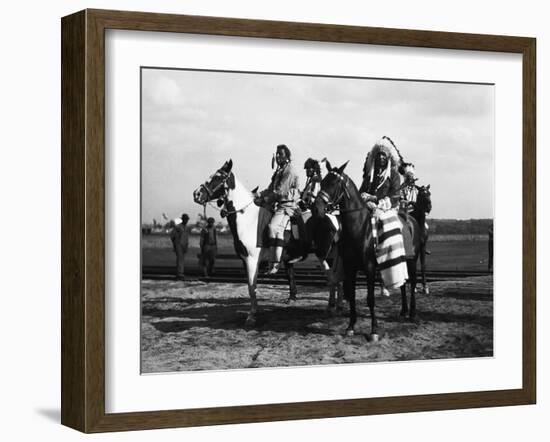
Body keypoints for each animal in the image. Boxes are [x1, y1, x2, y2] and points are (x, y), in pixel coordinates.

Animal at [314, 161, 422, 338]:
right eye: (322, 182)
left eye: (334, 183)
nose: (316, 209)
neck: (359, 227)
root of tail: (411, 219)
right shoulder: (350, 268)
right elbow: (351, 296)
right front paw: (351, 326)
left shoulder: (369, 268)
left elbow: (370, 298)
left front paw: (374, 330)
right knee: (403, 284)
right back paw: (403, 311)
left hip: (412, 260)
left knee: (412, 283)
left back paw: (412, 313)